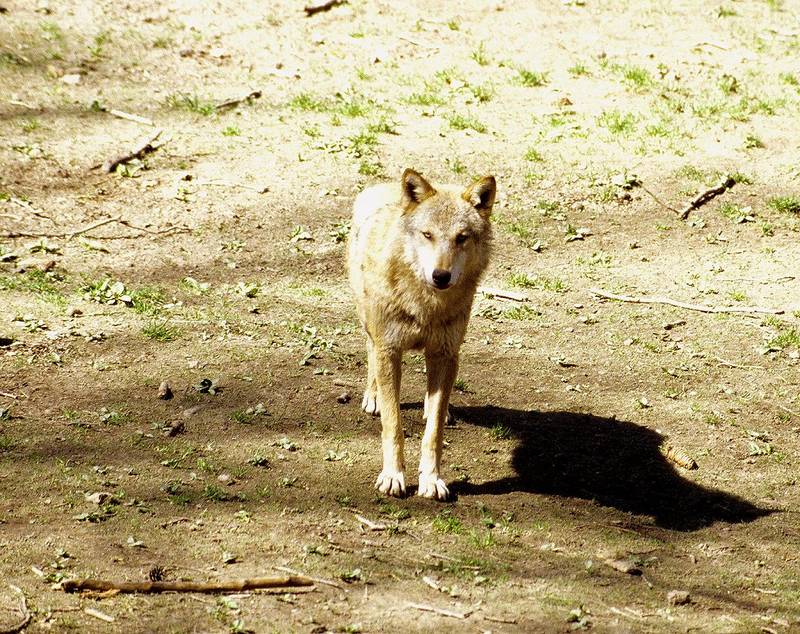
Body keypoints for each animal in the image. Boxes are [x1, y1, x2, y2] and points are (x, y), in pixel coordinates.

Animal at [348, 168, 494, 498]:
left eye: (461, 238)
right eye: (428, 235)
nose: (440, 275)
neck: (426, 305)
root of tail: (387, 186)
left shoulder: (447, 353)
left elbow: (433, 432)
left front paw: (432, 480)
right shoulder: (389, 350)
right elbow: (393, 425)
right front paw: (393, 477)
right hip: (370, 324)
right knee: (370, 352)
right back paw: (373, 398)